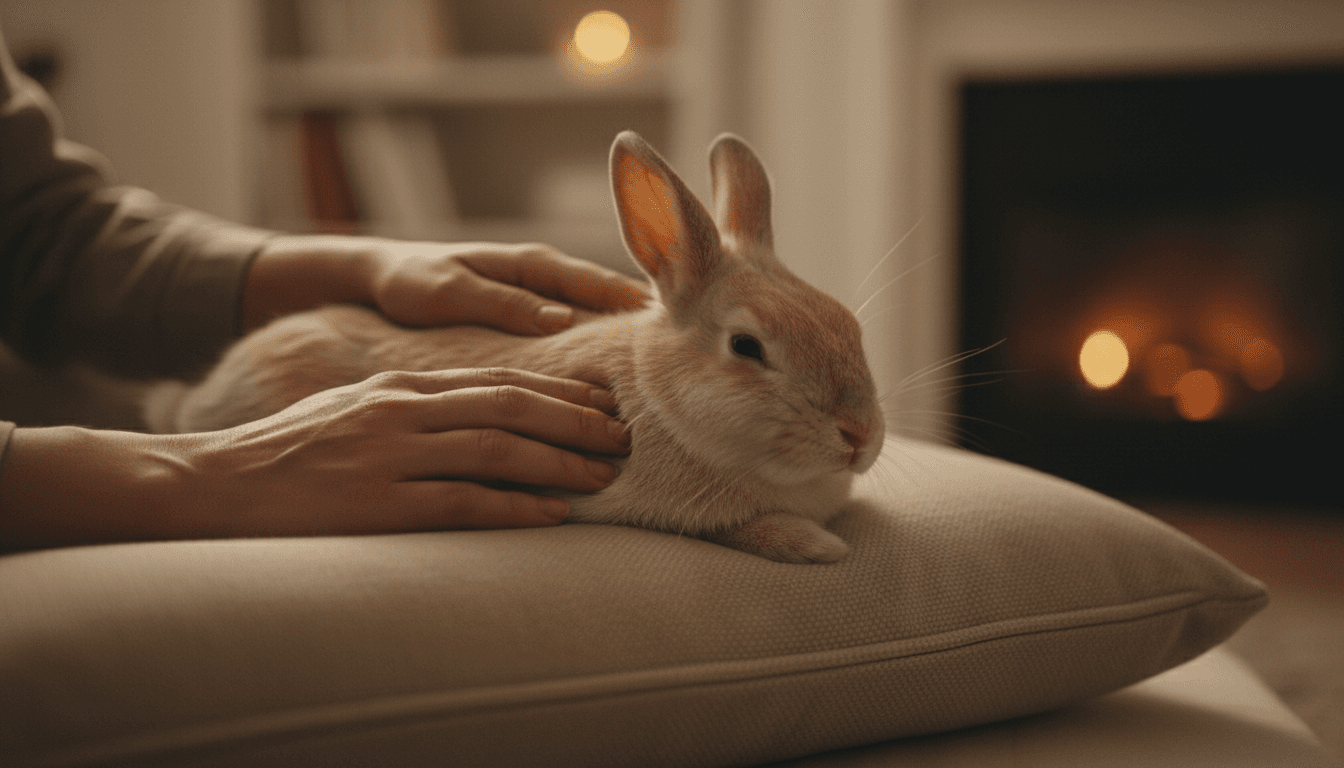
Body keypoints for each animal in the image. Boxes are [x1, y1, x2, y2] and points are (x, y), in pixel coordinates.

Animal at [144, 131, 886, 563]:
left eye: (851, 328)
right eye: (746, 346)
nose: (860, 438)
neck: (659, 395)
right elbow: (744, 526)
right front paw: (821, 546)